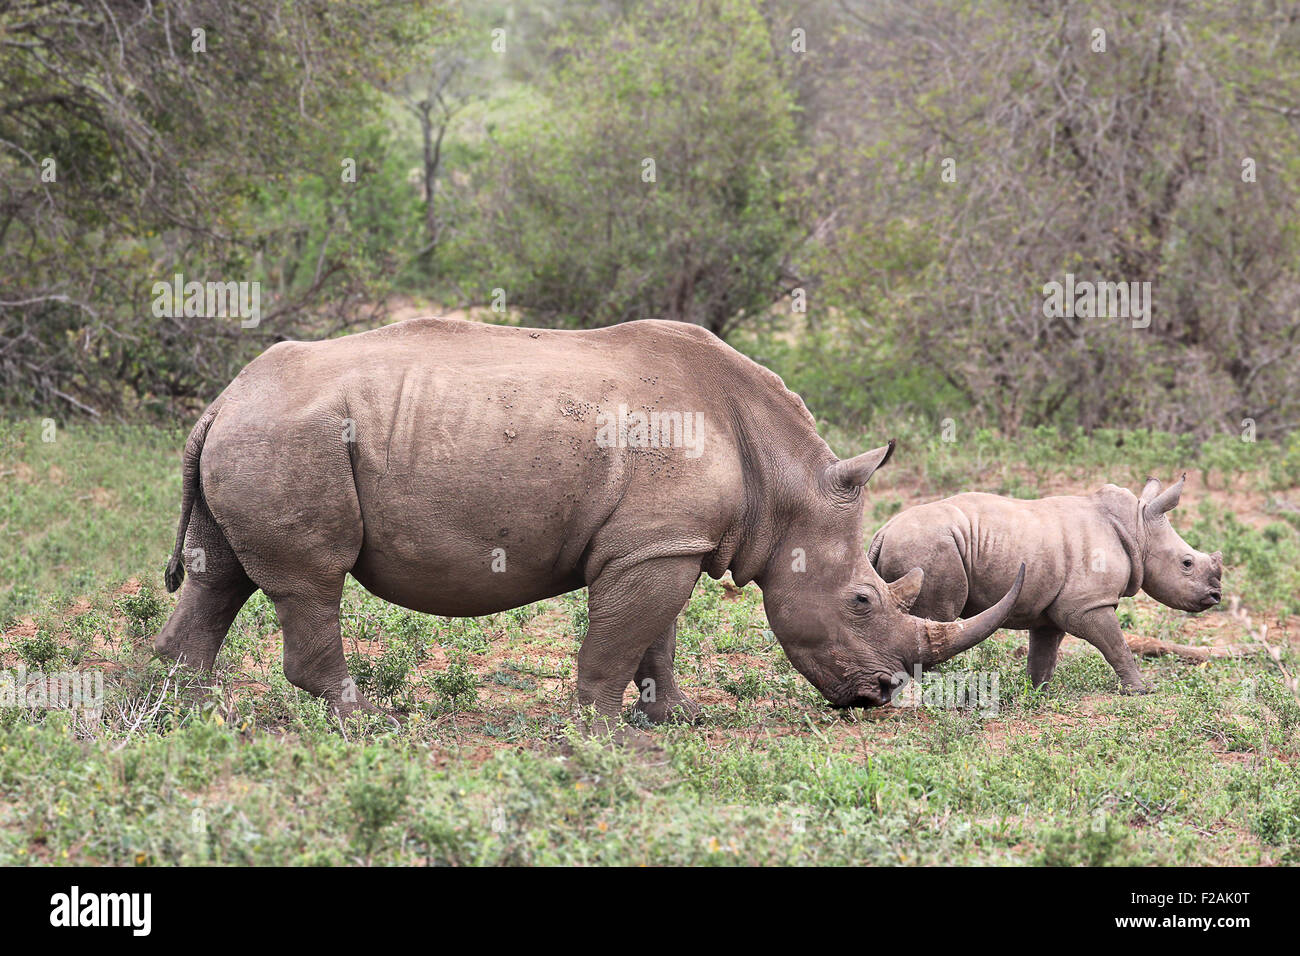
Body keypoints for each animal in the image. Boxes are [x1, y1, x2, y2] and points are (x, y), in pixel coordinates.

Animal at [868, 478, 1222, 697]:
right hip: (928, 548)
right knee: (937, 617)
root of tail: (882, 532)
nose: (1216, 596)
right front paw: (1141, 690)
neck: (1138, 530)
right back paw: (935, 688)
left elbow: (1044, 652)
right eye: (1187, 563)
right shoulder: (1088, 604)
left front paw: (1037, 693)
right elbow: (1117, 645)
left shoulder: (1053, 610)